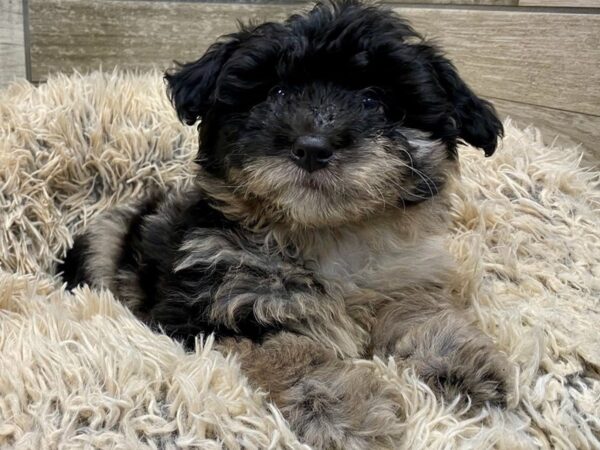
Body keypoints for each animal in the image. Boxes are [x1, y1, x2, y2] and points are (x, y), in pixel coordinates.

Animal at [59, 1, 510, 448]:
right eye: (275, 94)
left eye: (374, 101)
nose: (312, 147)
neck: (325, 234)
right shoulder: (216, 312)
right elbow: (289, 353)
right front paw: (343, 411)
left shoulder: (405, 276)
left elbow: (422, 312)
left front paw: (460, 365)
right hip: (105, 241)